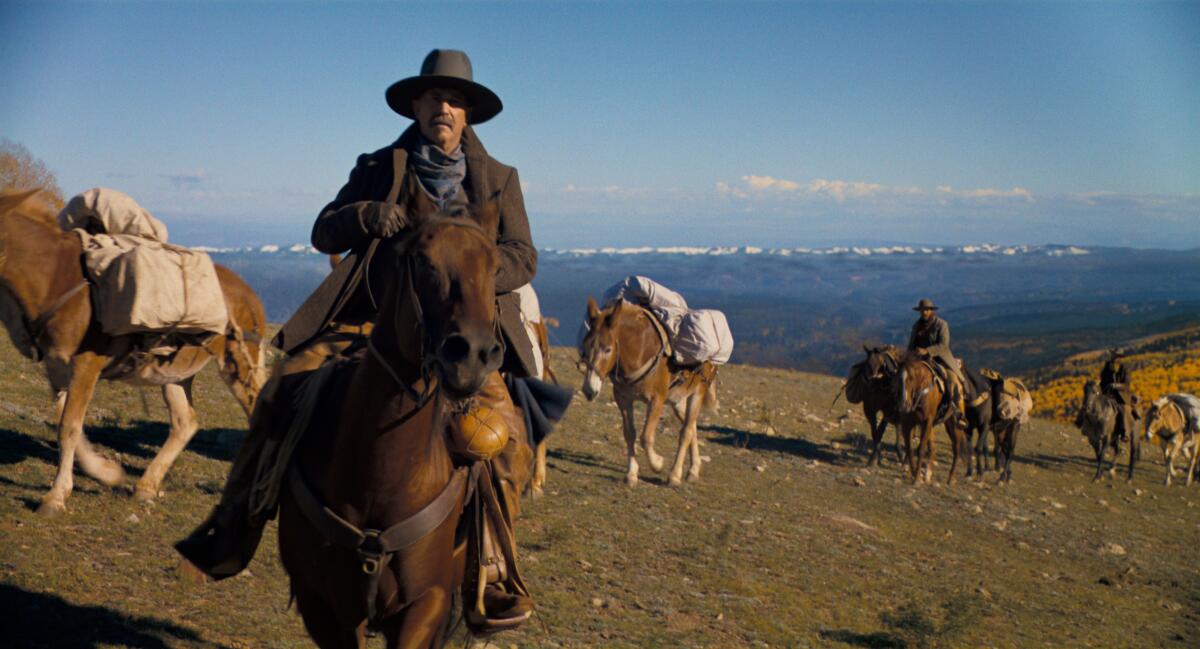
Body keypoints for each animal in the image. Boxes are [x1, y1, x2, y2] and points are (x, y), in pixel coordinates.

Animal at [0, 189, 267, 513]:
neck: (55, 278)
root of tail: (249, 294)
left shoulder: (86, 365)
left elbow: (69, 427)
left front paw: (56, 496)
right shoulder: (56, 366)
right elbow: (66, 422)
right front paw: (106, 473)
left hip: (237, 365)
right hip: (174, 373)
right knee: (185, 422)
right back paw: (146, 486)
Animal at [278, 203, 528, 647]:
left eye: (496, 267)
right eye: (423, 262)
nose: (472, 356)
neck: (381, 480)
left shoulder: (428, 603)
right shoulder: (322, 606)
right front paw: (375, 215)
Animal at [578, 297, 715, 484]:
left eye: (608, 349)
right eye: (585, 348)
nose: (589, 390)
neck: (639, 350)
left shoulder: (657, 400)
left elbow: (646, 437)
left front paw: (658, 464)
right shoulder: (623, 399)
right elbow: (629, 434)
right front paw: (632, 473)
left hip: (697, 392)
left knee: (686, 431)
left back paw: (675, 475)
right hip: (678, 400)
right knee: (692, 428)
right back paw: (693, 470)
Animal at [897, 352, 969, 482]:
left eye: (911, 378)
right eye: (898, 378)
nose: (904, 405)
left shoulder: (927, 421)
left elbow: (921, 449)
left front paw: (916, 479)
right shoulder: (908, 423)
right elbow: (909, 448)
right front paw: (912, 472)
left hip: (954, 425)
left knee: (956, 449)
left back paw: (950, 478)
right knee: (933, 448)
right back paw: (928, 474)